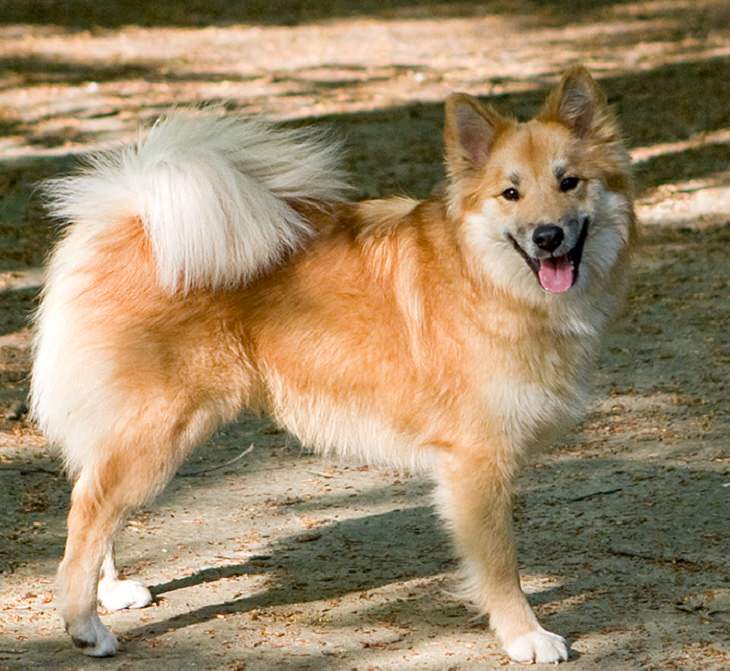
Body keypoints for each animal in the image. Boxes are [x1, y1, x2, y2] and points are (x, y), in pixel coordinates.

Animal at [29, 65, 632, 664]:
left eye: (569, 182)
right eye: (511, 193)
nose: (547, 236)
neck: (483, 274)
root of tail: (132, 216)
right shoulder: (478, 463)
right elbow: (501, 566)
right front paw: (524, 635)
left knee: (94, 495)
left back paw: (110, 592)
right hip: (159, 428)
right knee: (87, 509)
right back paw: (85, 626)